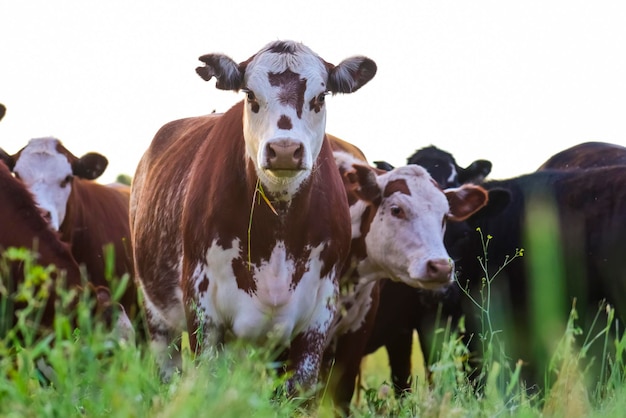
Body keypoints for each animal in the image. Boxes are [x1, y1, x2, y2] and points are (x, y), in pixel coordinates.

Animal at [130, 40, 376, 402]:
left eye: (320, 97)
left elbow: (298, 389)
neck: (278, 229)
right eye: (250, 95)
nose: (285, 149)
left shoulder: (320, 311)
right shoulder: (202, 308)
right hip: (158, 317)